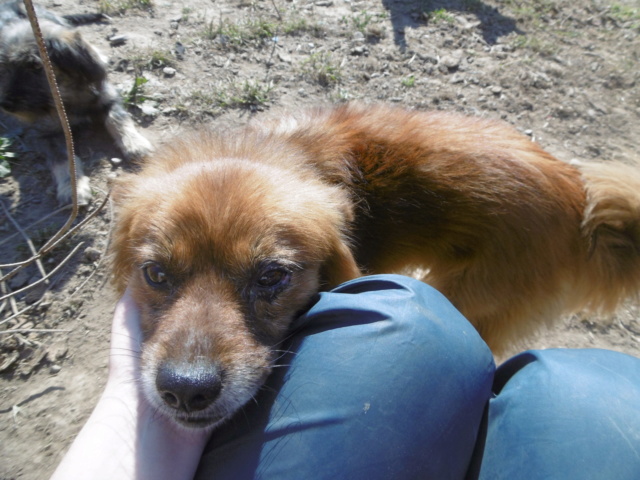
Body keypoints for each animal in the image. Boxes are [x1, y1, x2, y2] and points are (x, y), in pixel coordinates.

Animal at [0, 0, 151, 203]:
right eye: (3, 67)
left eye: (36, 65)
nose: (6, 105)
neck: (66, 97)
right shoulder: (43, 134)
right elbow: (64, 158)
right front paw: (74, 188)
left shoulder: (108, 97)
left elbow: (117, 119)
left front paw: (136, 145)